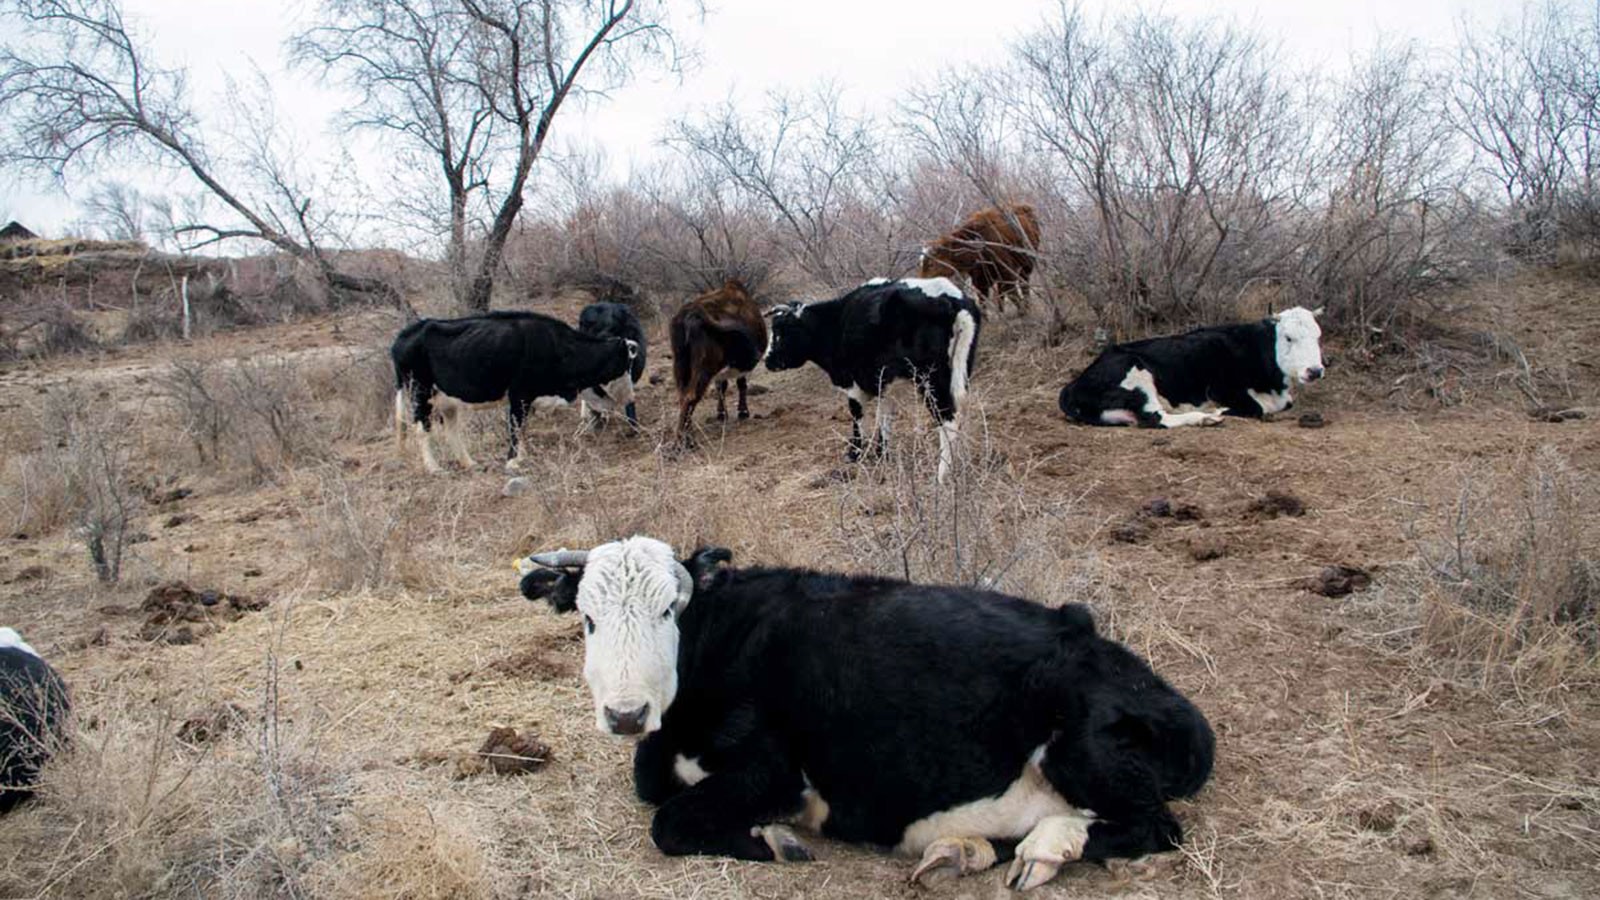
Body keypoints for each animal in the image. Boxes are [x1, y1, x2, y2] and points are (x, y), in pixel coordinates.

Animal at [391, 311, 639, 473]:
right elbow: (515, 427)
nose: (631, 396)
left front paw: (522, 457)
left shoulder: (528, 398)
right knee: (422, 429)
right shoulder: (519, 393)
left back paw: (469, 463)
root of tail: (403, 335)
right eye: (624, 364)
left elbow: (523, 428)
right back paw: (434, 468)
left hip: (447, 399)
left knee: (452, 430)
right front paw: (512, 462)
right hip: (420, 392)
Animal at [514, 537, 1214, 891]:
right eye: (587, 618)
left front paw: (776, 840)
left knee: (1155, 826)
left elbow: (669, 823)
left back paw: (1045, 849)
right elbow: (650, 787)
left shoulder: (773, 770)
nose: (627, 715)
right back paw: (963, 850)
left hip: (1084, 749)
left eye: (667, 611)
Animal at [669, 280, 767, 445]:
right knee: (690, 396)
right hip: (704, 368)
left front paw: (722, 414)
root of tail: (691, 313)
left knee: (683, 396)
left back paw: (686, 434)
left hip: (681, 365)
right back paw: (684, 440)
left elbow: (721, 387)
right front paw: (743, 412)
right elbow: (740, 384)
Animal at [763, 277, 980, 481]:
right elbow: (884, 418)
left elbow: (858, 417)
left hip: (931, 380)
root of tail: (951, 297)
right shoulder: (886, 384)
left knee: (948, 419)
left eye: (780, 332)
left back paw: (942, 474)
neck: (836, 323)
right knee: (961, 408)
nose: (767, 360)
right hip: (959, 373)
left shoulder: (853, 386)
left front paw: (856, 453)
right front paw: (881, 453)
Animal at [1059, 307, 1326, 428]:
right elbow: (1257, 408)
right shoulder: (1223, 389)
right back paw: (1206, 418)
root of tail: (1071, 386)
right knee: (1157, 419)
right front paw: (1220, 410)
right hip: (1137, 374)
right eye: (1289, 337)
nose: (1315, 370)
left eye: (1318, 336)